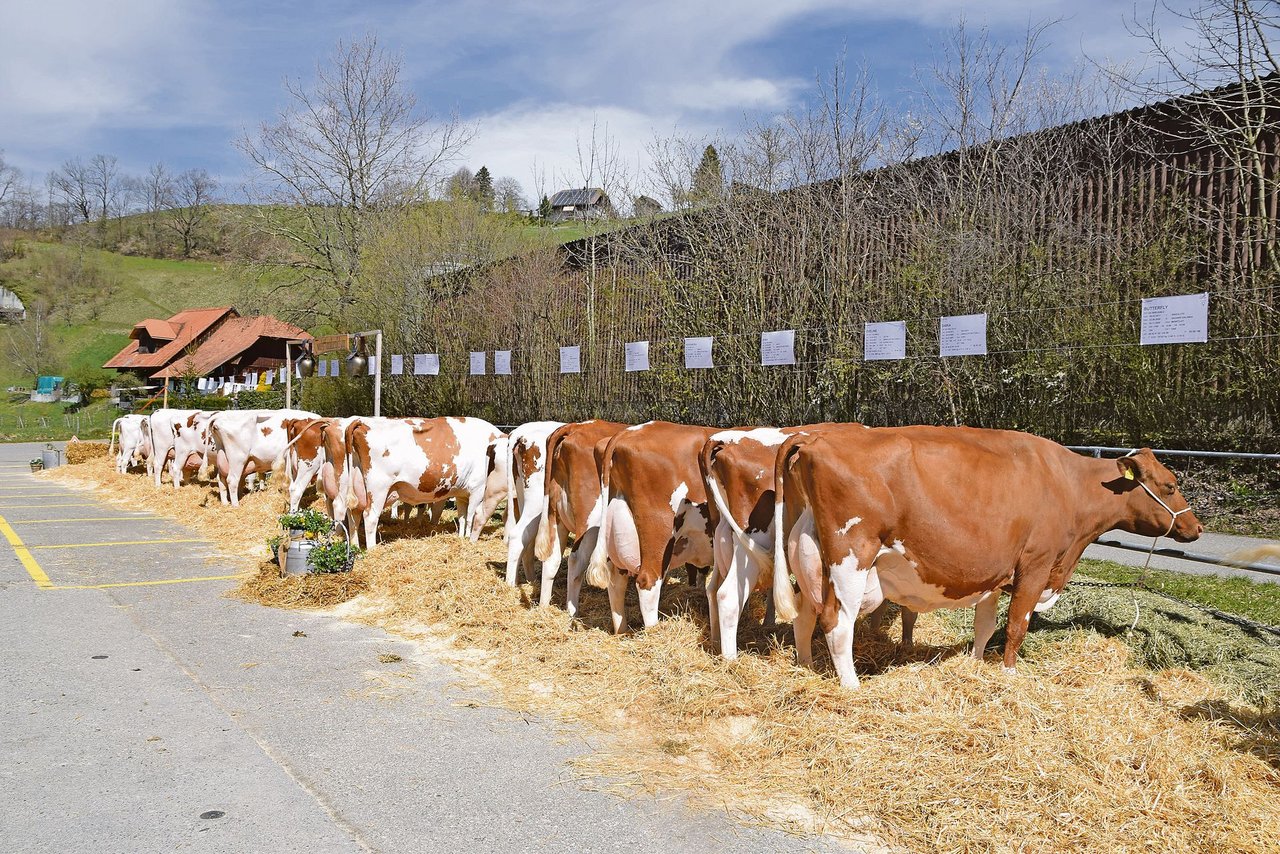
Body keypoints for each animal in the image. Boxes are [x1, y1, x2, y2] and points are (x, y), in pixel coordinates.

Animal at [350, 414, 509, 547]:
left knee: (354, 515)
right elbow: (471, 516)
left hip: (357, 489)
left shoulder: (462, 494)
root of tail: (362, 422)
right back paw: (372, 549)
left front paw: (461, 537)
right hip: (378, 489)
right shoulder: (478, 489)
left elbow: (462, 517)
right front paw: (468, 538)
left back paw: (355, 546)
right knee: (370, 517)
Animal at [501, 419, 563, 588]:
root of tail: (519, 432)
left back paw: (529, 580)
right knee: (517, 536)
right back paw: (511, 584)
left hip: (523, 498)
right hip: (537, 503)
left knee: (526, 539)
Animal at [529, 419, 629, 614]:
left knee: (552, 559)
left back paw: (544, 607)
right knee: (576, 560)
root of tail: (574, 427)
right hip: (590, 522)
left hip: (555, 516)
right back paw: (572, 612)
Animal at [586, 422, 721, 635]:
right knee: (647, 582)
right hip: (658, 534)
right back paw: (654, 632)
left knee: (616, 583)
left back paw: (622, 631)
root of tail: (627, 432)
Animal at [773, 427, 1203, 686]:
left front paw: (977, 665)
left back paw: (805, 666)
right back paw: (852, 686)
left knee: (804, 615)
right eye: (1169, 485)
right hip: (851, 558)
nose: (1195, 527)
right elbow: (1016, 627)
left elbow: (985, 625)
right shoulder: (1035, 565)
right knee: (837, 623)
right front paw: (1009, 676)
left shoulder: (997, 573)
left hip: (811, 559)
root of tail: (814, 439)